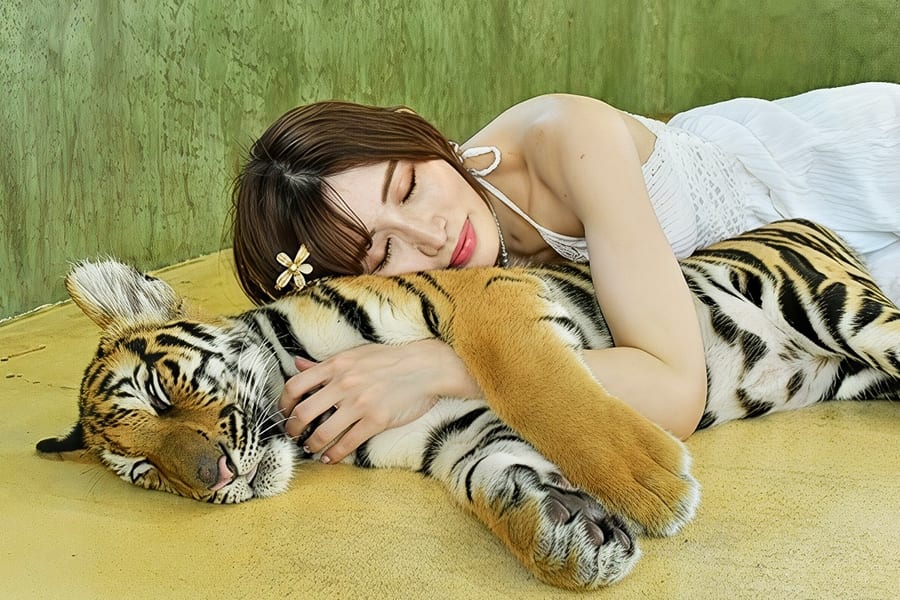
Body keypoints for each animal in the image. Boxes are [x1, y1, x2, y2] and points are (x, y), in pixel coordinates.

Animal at [37, 219, 899, 590]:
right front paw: (567, 538)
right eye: (145, 474)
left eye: (159, 390)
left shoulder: (484, 295)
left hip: (841, 309)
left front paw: (651, 484)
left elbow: (537, 383)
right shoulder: (447, 430)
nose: (214, 477)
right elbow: (497, 476)